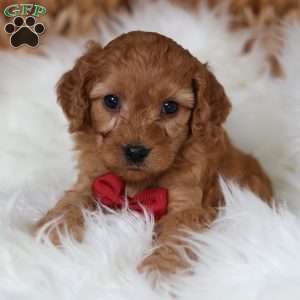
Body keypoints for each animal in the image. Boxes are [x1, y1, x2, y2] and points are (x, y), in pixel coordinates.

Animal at [34, 31, 274, 276]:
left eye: (170, 107)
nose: (135, 151)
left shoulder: (187, 205)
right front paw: (51, 233)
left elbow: (176, 240)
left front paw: (158, 273)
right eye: (111, 101)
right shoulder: (90, 180)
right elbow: (69, 204)